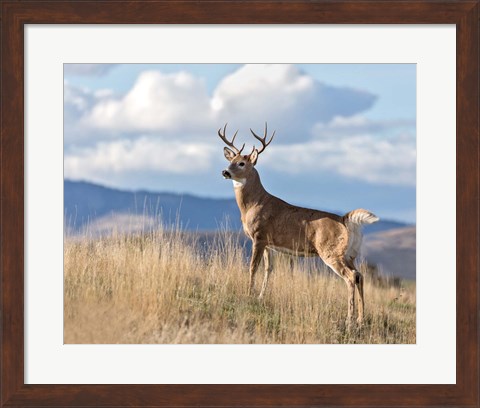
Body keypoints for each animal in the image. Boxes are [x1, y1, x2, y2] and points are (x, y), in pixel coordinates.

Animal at [218, 122, 378, 326]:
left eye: (242, 163)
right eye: (231, 159)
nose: (225, 172)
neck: (253, 204)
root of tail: (345, 220)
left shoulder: (259, 236)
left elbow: (253, 267)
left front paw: (248, 294)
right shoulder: (268, 243)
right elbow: (269, 269)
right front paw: (260, 297)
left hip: (332, 252)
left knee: (351, 277)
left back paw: (349, 320)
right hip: (350, 254)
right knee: (360, 276)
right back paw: (360, 319)